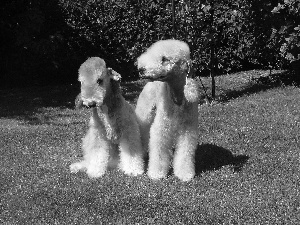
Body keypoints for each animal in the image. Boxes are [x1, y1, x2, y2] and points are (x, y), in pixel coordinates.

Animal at [135, 39, 199, 182]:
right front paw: (157, 173)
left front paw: (185, 174)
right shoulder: (161, 127)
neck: (178, 98)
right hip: (144, 114)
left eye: (165, 59)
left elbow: (185, 151)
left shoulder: (188, 129)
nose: (141, 70)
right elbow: (159, 149)